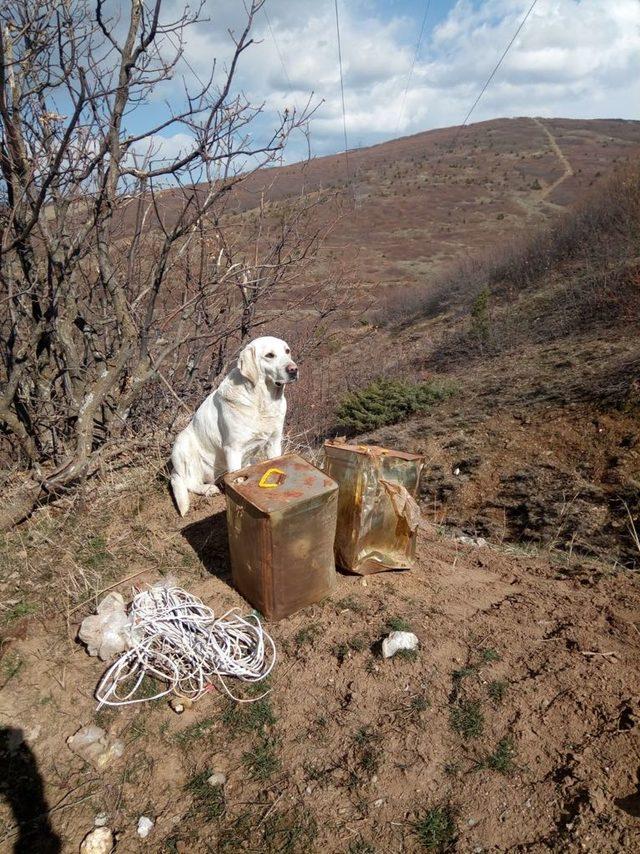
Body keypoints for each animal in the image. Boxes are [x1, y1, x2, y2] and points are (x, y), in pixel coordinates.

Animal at [171, 338, 298, 520]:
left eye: (287, 351)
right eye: (269, 355)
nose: (293, 369)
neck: (262, 401)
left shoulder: (274, 442)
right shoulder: (233, 448)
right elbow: (237, 476)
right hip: (183, 444)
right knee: (188, 482)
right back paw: (208, 489)